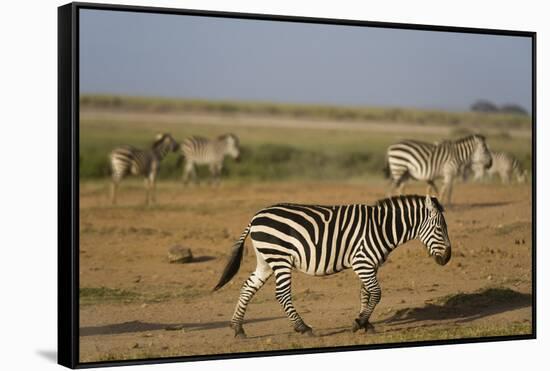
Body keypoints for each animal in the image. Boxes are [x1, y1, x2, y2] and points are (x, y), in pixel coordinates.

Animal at [213, 196, 450, 338]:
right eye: (440, 229)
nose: (447, 258)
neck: (381, 229)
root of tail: (256, 217)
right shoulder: (362, 262)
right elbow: (376, 293)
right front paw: (359, 323)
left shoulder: (369, 265)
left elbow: (366, 293)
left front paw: (365, 324)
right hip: (280, 258)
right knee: (282, 294)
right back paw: (303, 328)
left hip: (266, 259)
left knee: (248, 287)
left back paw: (238, 328)